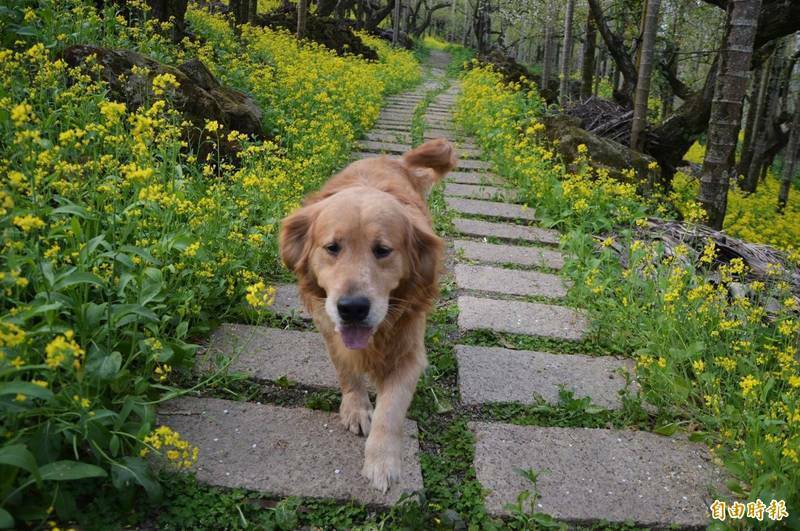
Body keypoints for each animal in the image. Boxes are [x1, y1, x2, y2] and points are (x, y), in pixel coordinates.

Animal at [280, 139, 456, 492]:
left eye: (383, 250)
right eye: (332, 247)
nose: (352, 308)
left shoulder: (409, 353)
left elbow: (391, 410)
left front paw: (382, 461)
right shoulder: (330, 330)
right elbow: (347, 371)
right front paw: (356, 407)